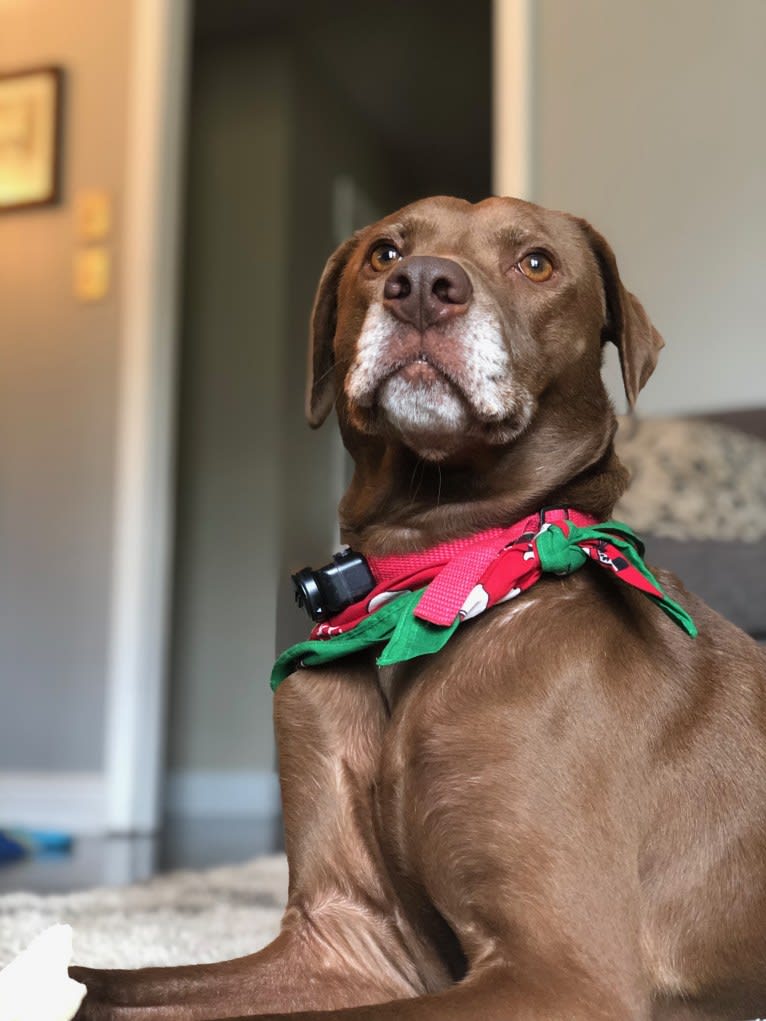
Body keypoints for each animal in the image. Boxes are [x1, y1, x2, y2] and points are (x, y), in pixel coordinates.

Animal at [73, 197, 766, 1021]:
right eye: (385, 251)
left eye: (537, 262)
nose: (424, 288)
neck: (426, 577)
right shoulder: (345, 940)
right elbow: (108, 989)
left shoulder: (563, 971)